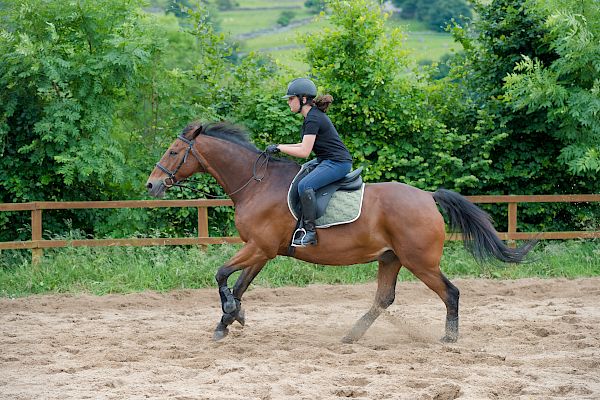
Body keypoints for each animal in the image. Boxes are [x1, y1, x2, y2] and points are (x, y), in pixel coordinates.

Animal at [146, 120, 540, 342]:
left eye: (175, 151)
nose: (151, 185)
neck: (256, 184)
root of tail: (428, 197)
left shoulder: (259, 247)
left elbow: (221, 274)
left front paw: (229, 316)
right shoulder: (262, 250)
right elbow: (239, 284)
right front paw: (229, 321)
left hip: (419, 261)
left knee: (450, 293)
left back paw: (449, 338)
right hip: (391, 258)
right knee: (383, 299)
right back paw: (351, 336)